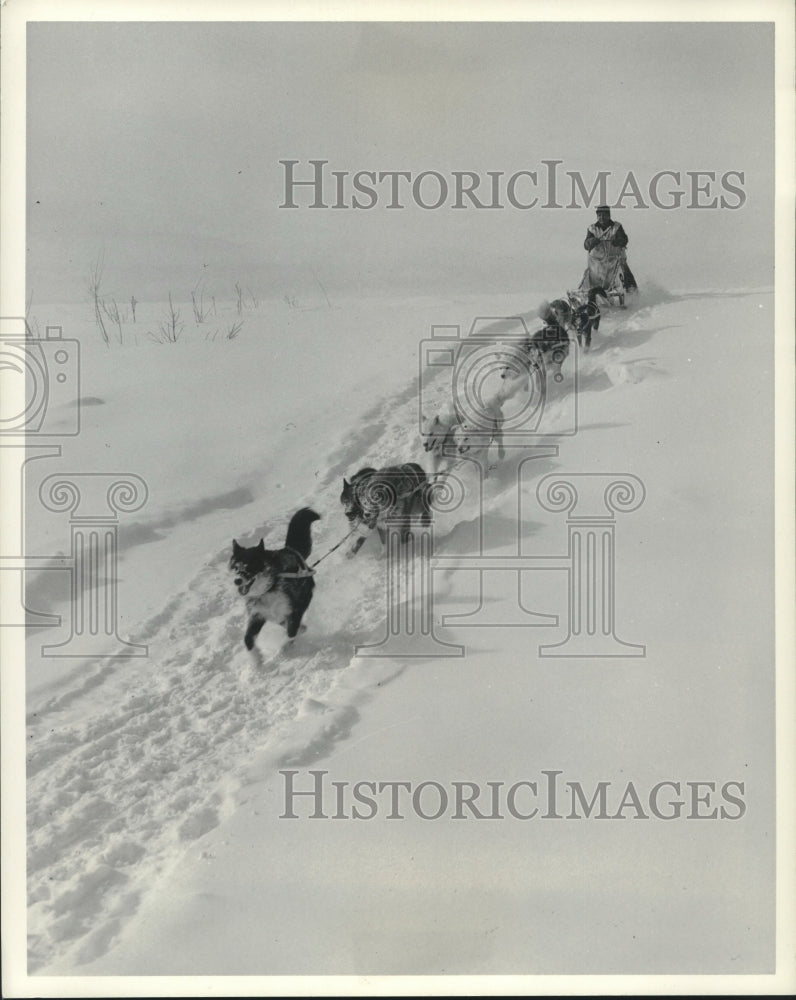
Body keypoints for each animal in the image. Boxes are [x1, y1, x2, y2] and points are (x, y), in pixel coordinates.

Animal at [227, 508, 320, 648]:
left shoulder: (294, 608)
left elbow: (291, 631)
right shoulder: (258, 615)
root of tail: (290, 549)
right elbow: (248, 639)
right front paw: (257, 655)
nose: (237, 581)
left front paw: (285, 648)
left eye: (249, 567)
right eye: (235, 567)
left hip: (303, 596)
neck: (267, 589)